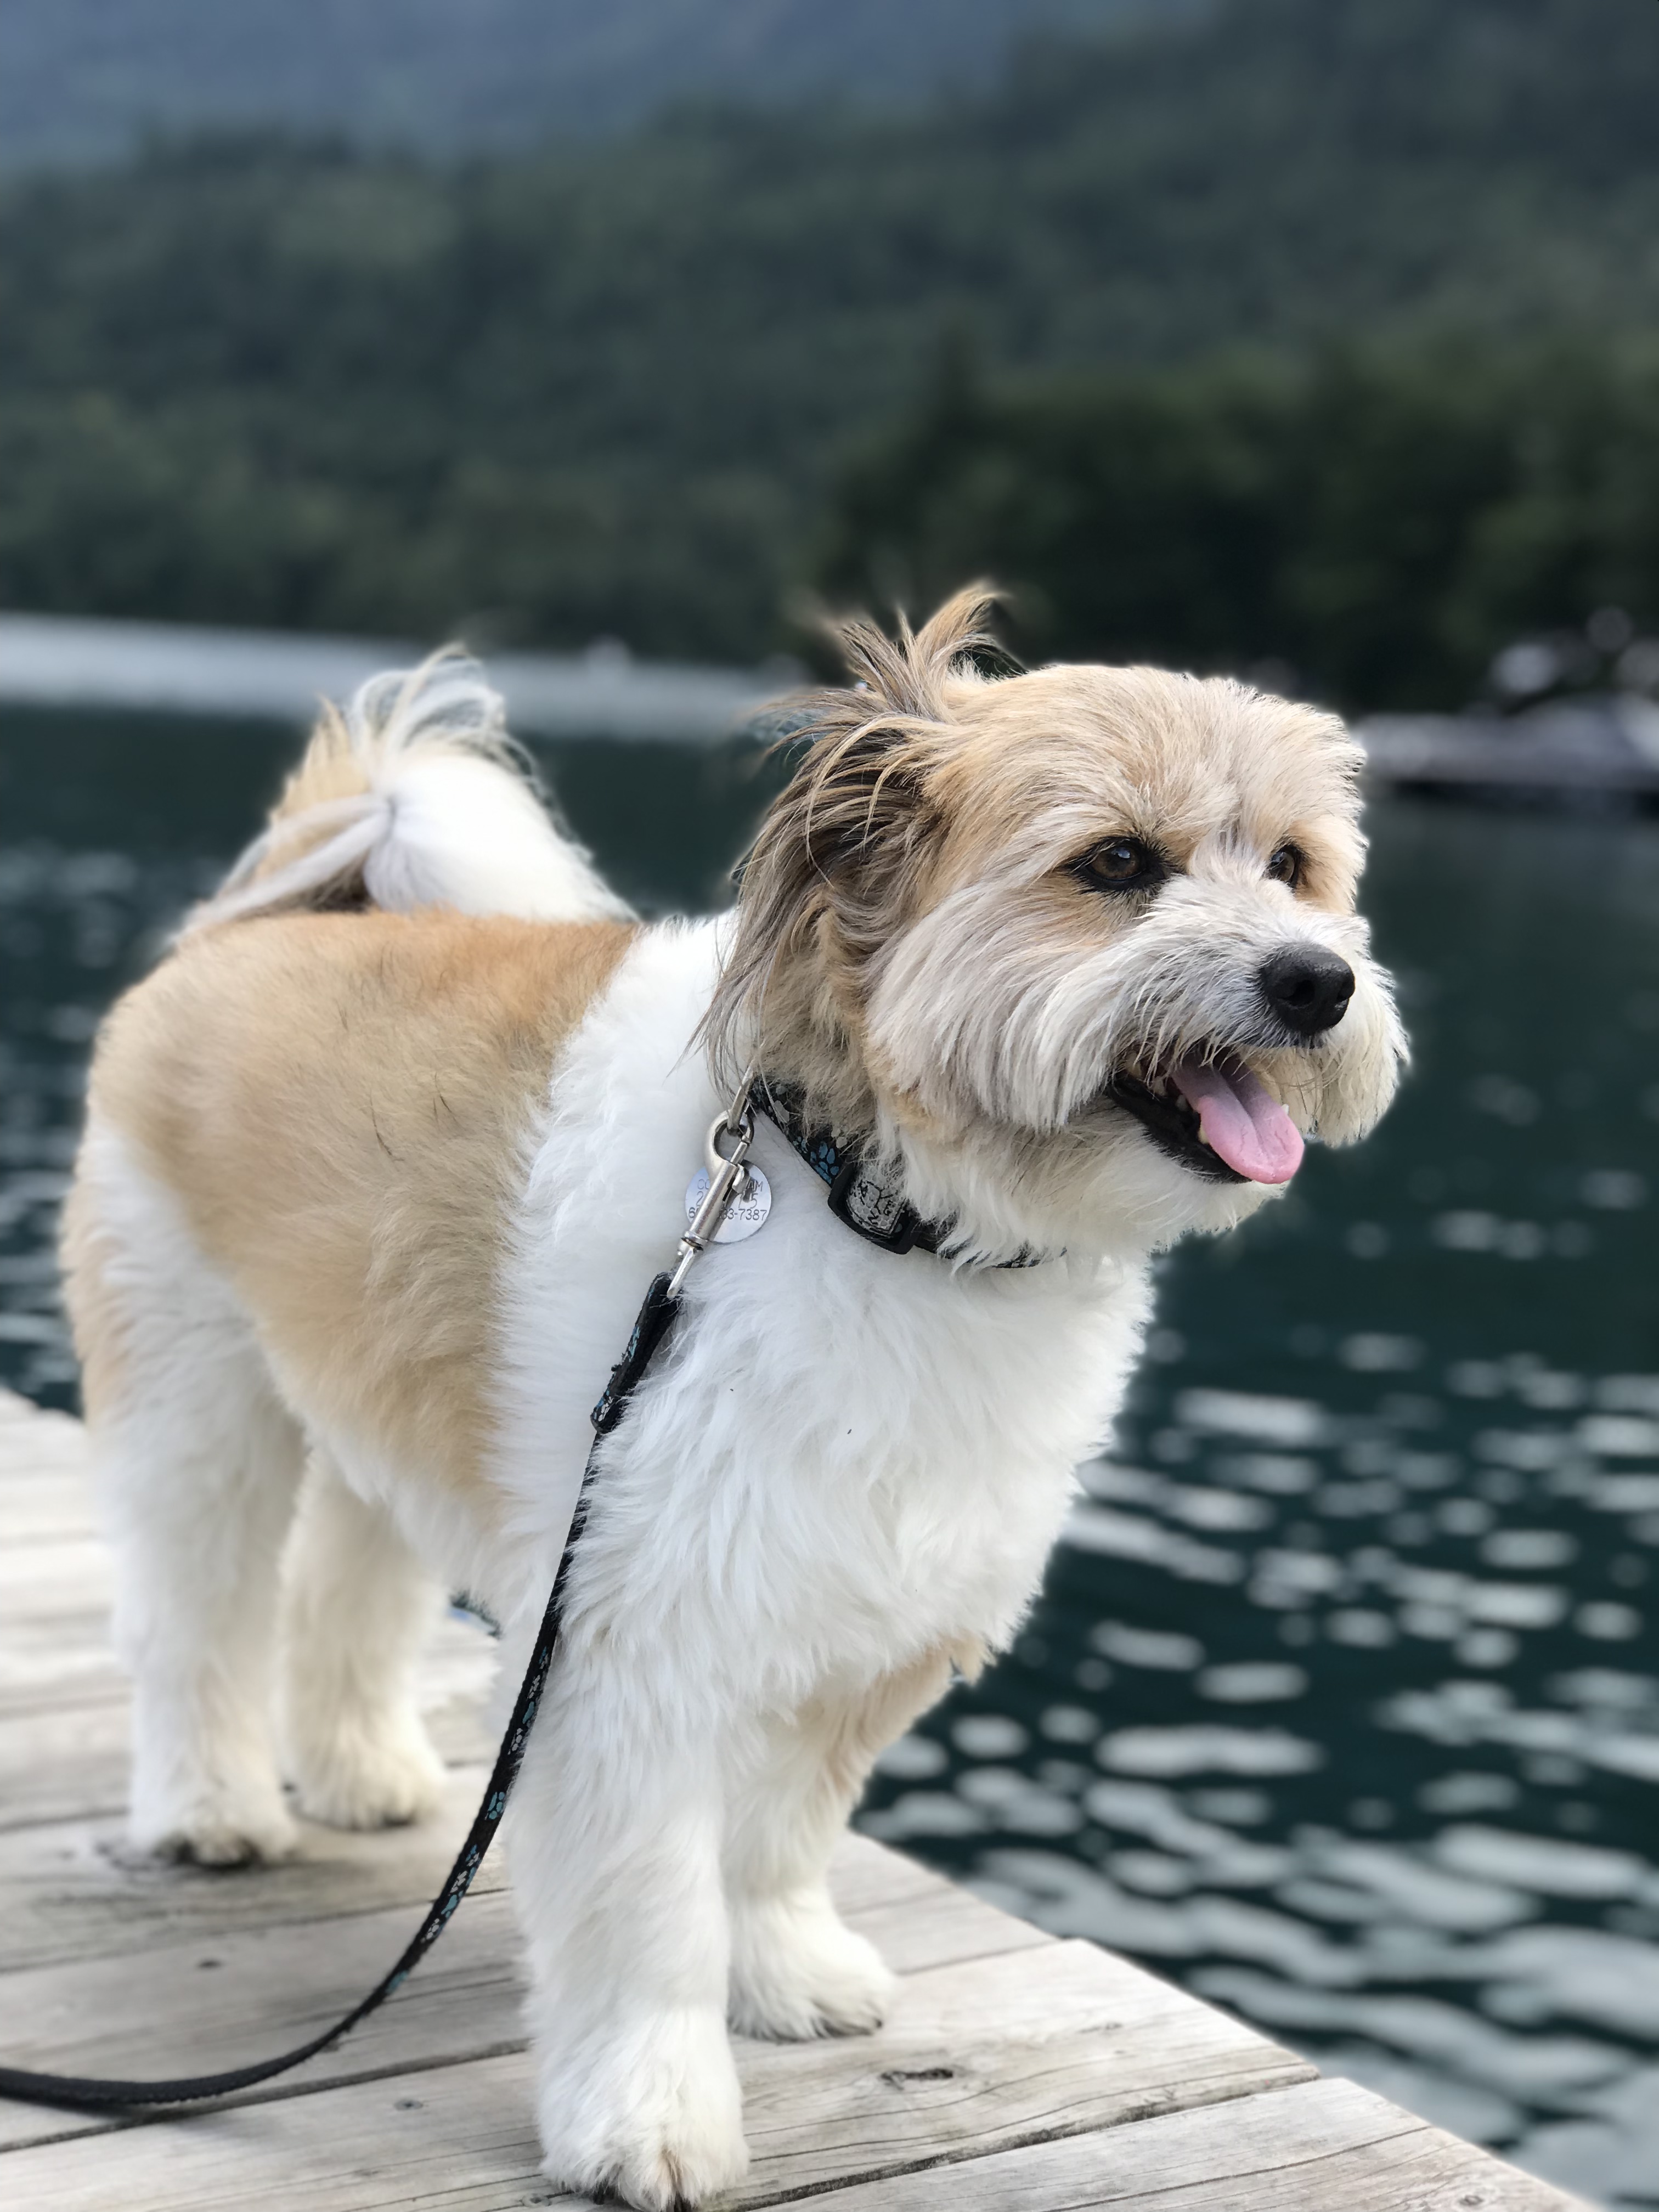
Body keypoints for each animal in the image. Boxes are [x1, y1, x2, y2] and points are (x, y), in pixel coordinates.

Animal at [58, 592, 1407, 2212]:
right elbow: (653, 1913)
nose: (1314, 982)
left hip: (393, 1389)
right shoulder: (630, 1640)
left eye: (1294, 870)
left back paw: (364, 1774)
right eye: (1117, 867)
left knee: (348, 1581)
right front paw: (648, 2113)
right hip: (197, 1386)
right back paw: (211, 1811)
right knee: (196, 1605)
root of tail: (282, 917)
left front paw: (782, 1974)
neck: (873, 1201)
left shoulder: (859, 1613)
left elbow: (777, 1837)